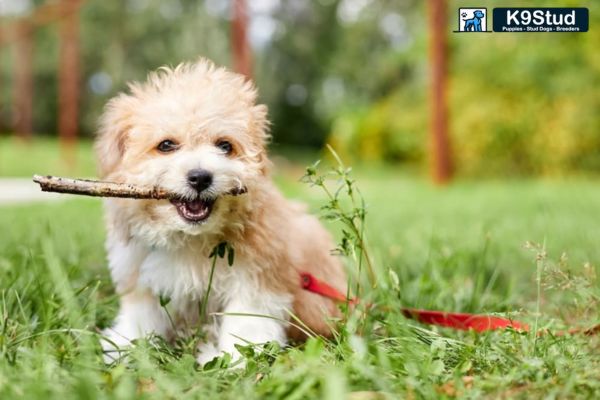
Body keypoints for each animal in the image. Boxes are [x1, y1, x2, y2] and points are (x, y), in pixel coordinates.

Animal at [98, 58, 346, 362]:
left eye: (225, 146)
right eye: (166, 145)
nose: (200, 177)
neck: (192, 239)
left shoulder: (258, 279)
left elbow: (247, 323)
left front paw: (237, 360)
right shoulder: (141, 275)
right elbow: (140, 316)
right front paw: (124, 347)